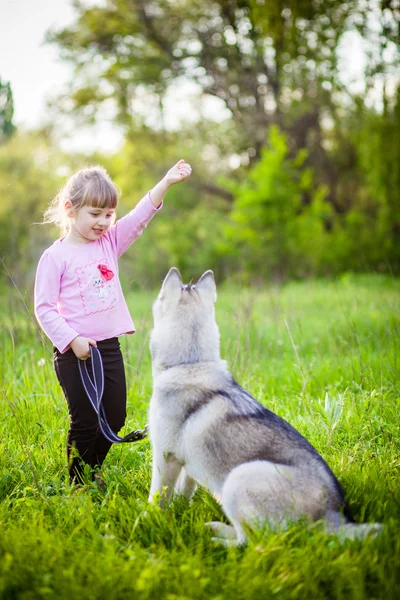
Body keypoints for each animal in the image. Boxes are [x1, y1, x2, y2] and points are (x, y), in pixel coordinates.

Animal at [148, 268, 380, 544]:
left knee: (251, 541)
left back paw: (217, 538)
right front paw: (177, 513)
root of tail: (333, 514)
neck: (191, 364)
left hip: (237, 479)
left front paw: (147, 522)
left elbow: (156, 499)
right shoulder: (187, 463)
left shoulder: (165, 456)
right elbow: (182, 494)